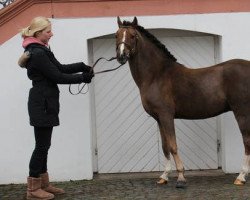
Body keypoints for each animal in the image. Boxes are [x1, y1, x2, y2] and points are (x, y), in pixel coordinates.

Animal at [115, 16, 250, 188]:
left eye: (133, 36)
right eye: (116, 35)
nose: (121, 56)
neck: (156, 75)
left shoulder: (166, 115)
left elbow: (173, 146)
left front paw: (180, 178)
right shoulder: (159, 118)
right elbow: (165, 146)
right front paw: (164, 176)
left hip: (242, 112)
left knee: (247, 141)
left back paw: (241, 176)